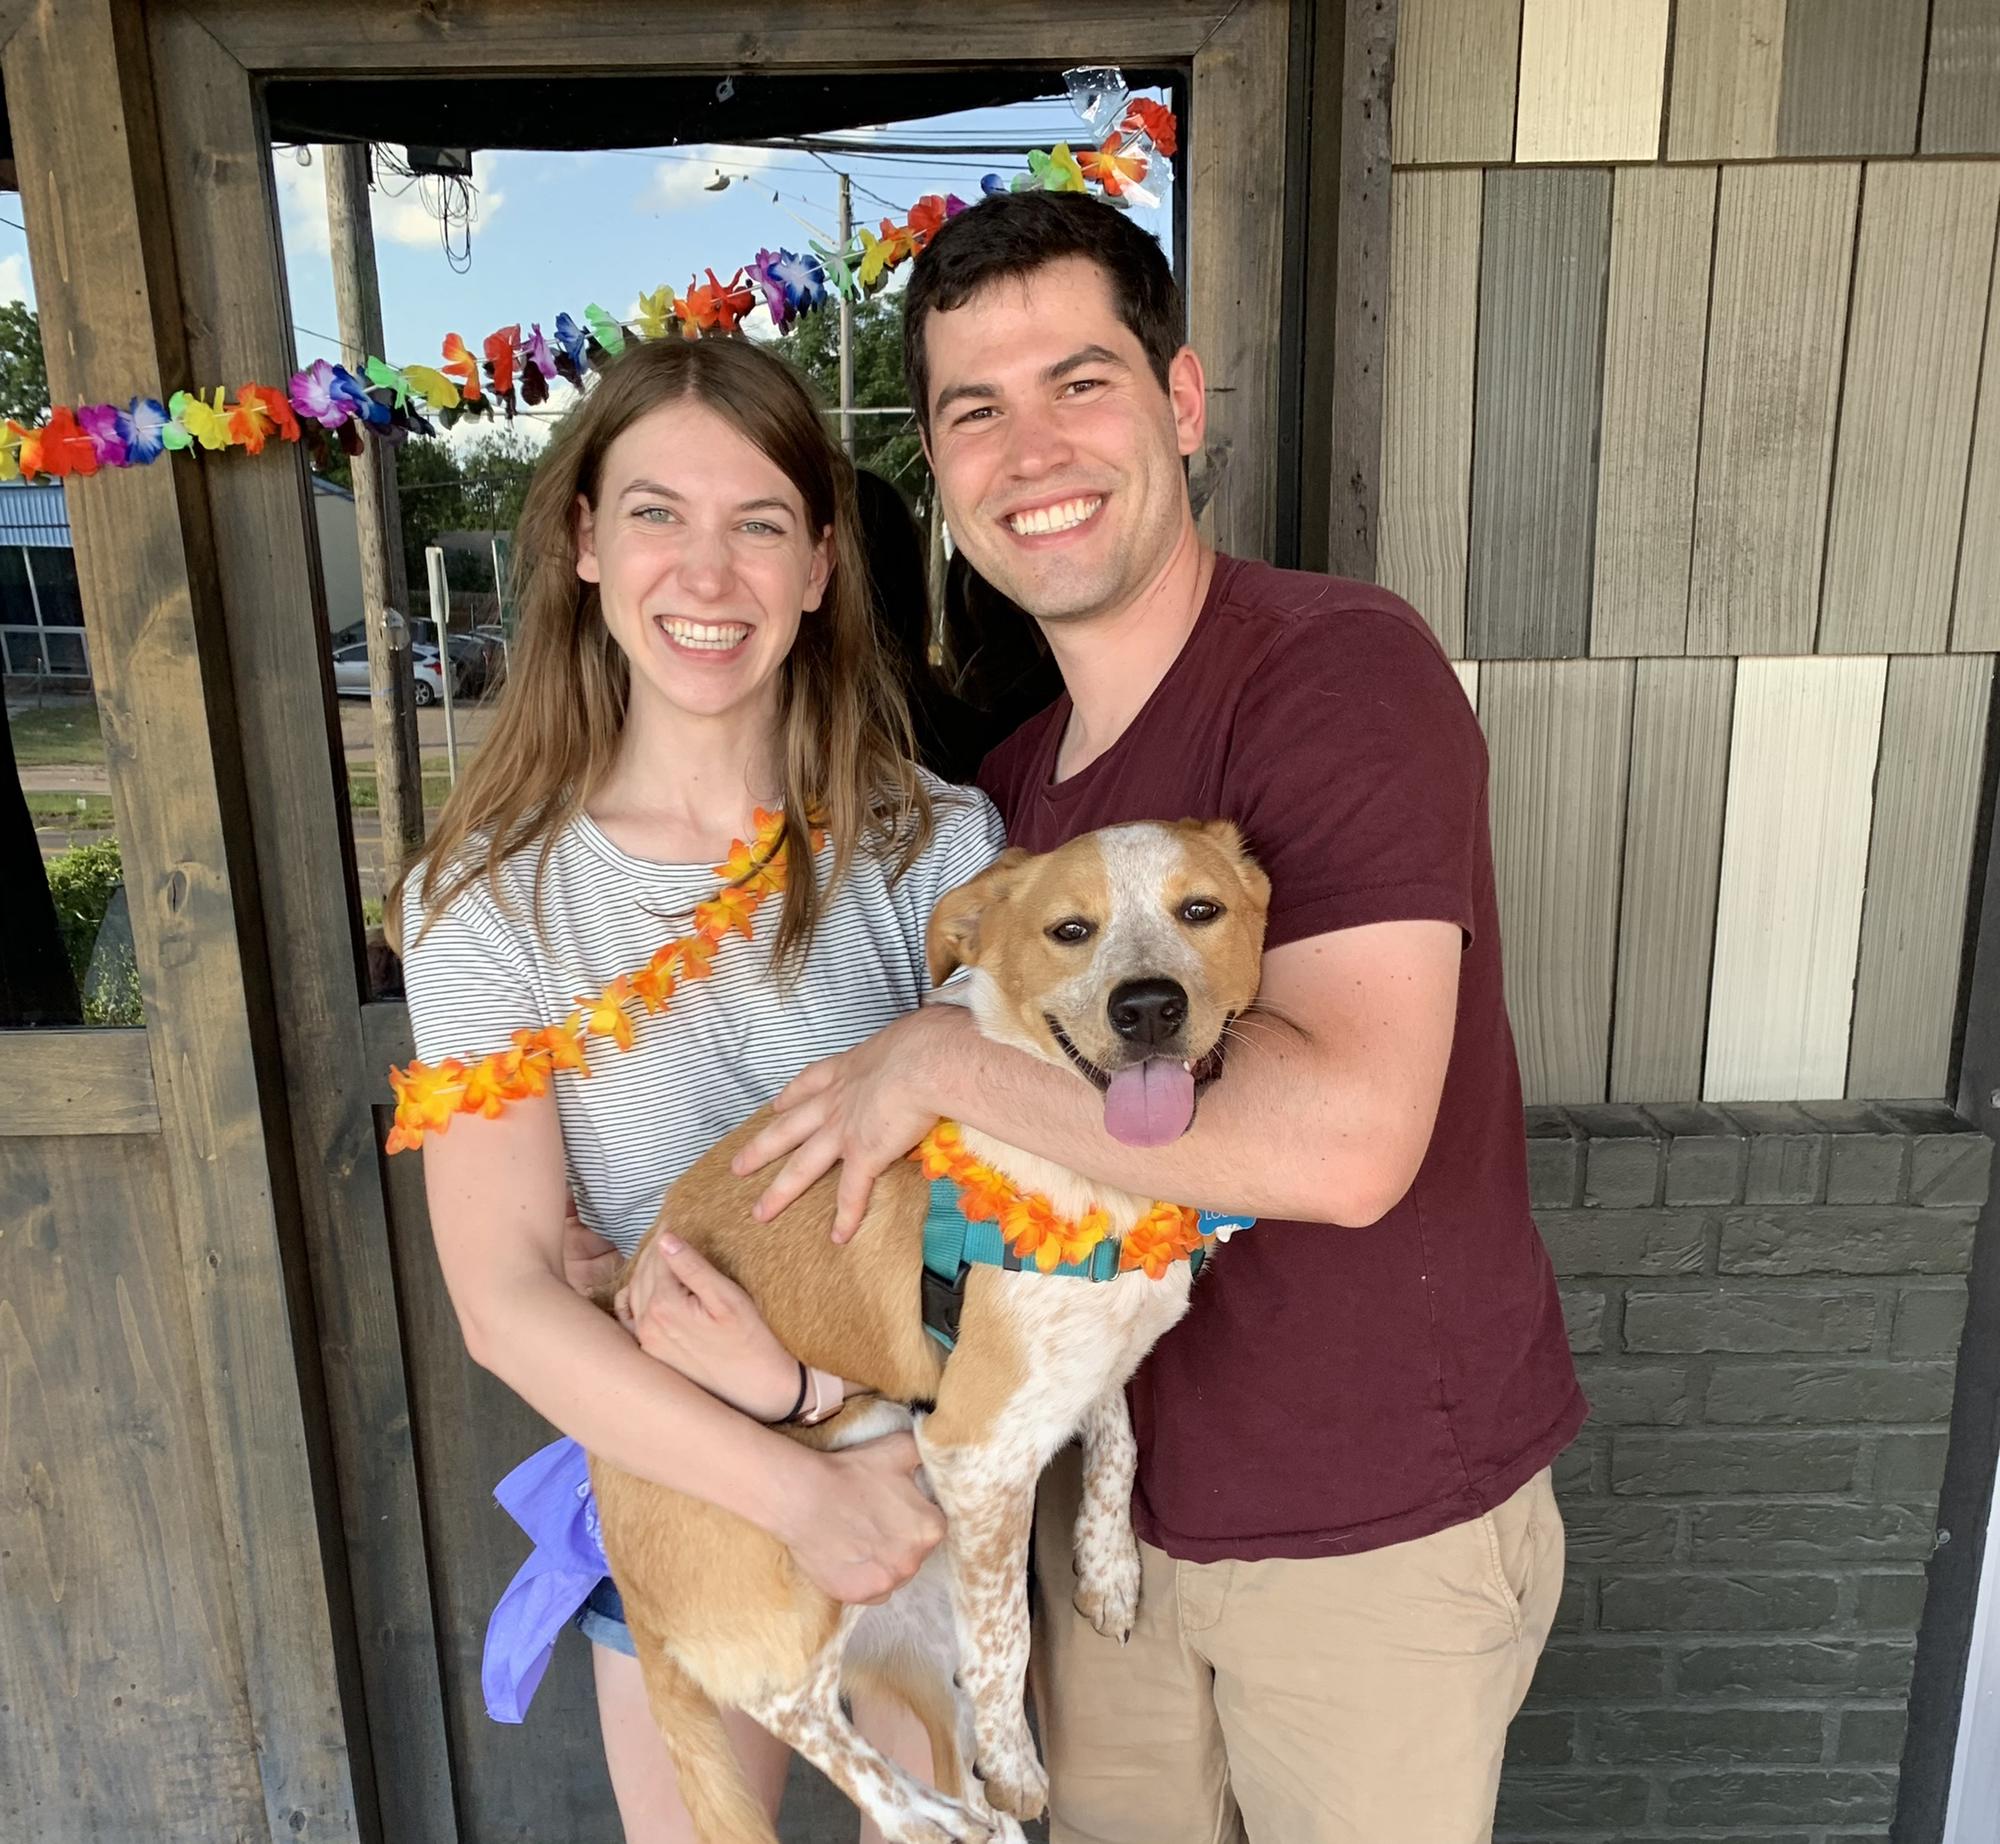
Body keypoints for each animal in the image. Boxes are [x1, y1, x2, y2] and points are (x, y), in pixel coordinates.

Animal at [588, 820, 1264, 1840]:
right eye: (1071, 930)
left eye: (1200, 910)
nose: (1148, 1007)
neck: (1094, 1174)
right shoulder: (974, 1453)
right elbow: (1008, 1642)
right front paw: (1020, 1762)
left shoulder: (1078, 1374)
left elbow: (1119, 1440)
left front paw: (1108, 1569)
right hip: (807, 1549)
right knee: (801, 1708)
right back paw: (932, 1811)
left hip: (919, 1597)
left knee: (939, 1736)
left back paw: (971, 1815)